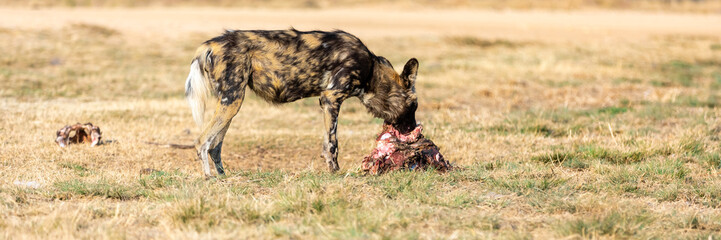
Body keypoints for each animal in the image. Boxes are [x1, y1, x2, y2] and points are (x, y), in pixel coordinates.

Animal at [186, 29, 420, 177]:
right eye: (414, 106)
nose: (413, 129)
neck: (372, 72)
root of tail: (209, 44)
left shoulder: (327, 102)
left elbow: (327, 143)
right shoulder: (331, 98)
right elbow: (332, 144)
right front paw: (336, 173)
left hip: (231, 102)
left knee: (215, 146)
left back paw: (223, 177)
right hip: (232, 100)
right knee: (201, 142)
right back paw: (209, 178)